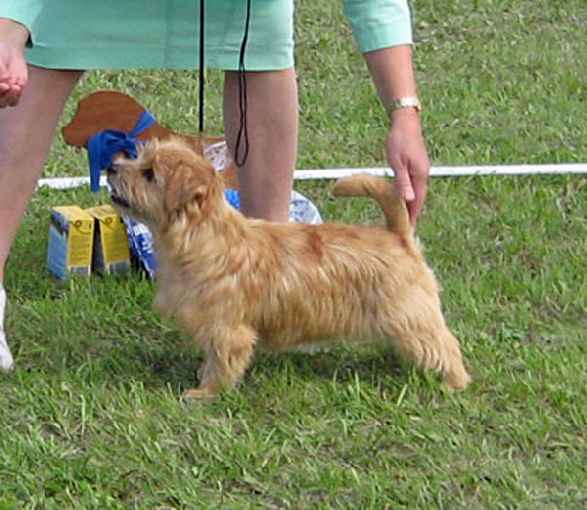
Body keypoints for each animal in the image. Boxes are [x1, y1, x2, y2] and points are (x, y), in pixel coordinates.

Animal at [108, 139, 470, 398]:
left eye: (150, 174)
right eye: (139, 159)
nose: (112, 166)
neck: (202, 236)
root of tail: (397, 235)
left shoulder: (228, 328)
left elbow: (222, 361)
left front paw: (205, 392)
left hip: (410, 316)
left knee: (445, 344)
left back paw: (455, 383)